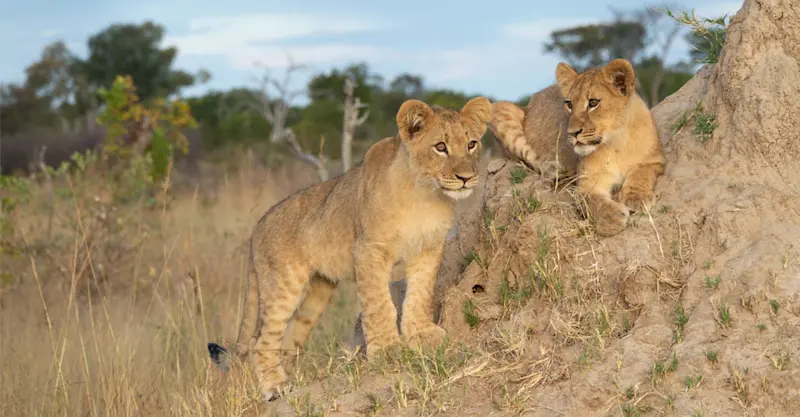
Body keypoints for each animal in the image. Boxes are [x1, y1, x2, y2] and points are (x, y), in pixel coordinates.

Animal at [208, 96, 493, 402]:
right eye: (440, 147)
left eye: (471, 144)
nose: (466, 178)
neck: (425, 194)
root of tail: (257, 227)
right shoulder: (368, 250)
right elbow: (379, 303)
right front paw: (387, 350)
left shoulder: (428, 247)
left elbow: (421, 293)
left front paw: (422, 334)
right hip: (283, 285)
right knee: (261, 341)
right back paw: (275, 387)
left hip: (319, 292)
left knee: (290, 338)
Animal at [489, 58, 665, 236]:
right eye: (569, 104)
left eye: (593, 103)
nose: (572, 133)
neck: (615, 143)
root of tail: (533, 98)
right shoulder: (587, 184)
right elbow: (592, 201)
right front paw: (611, 218)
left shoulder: (654, 160)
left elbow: (641, 174)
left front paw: (636, 199)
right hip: (500, 108)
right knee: (532, 159)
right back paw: (554, 171)